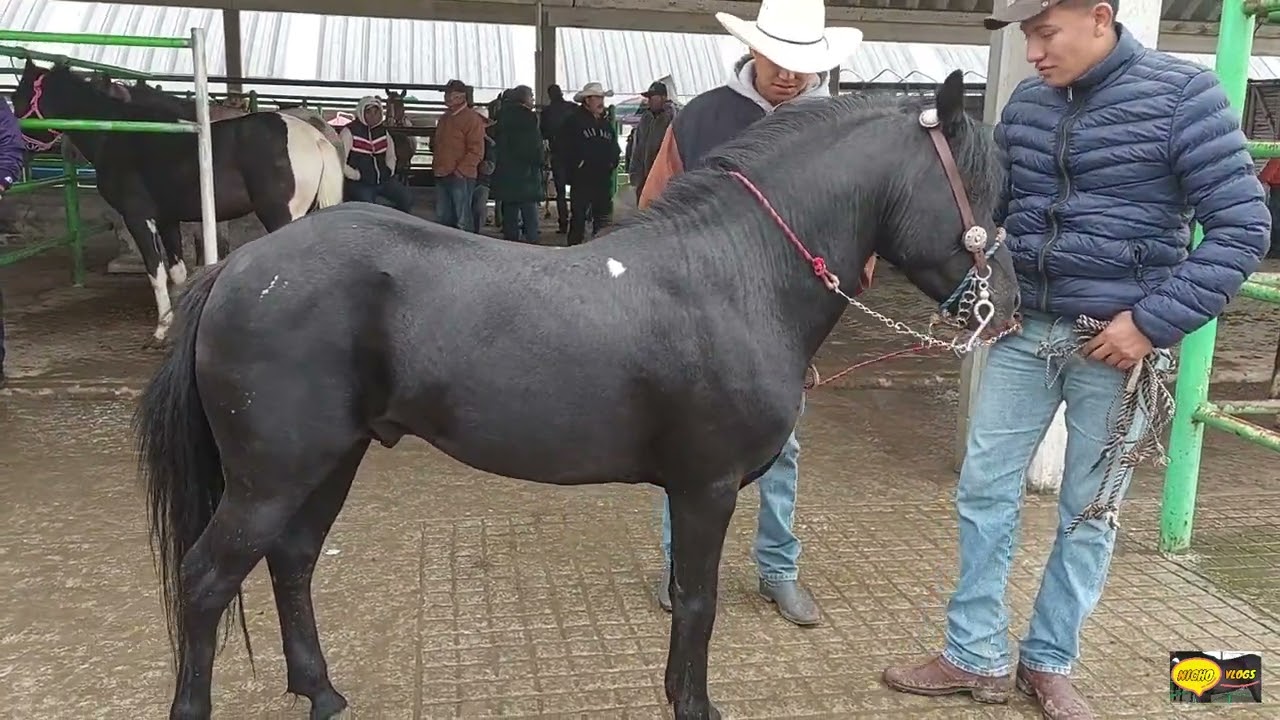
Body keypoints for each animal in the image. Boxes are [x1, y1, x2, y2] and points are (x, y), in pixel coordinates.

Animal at [12, 59, 345, 347]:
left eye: (17, 99)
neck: (120, 136)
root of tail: (314, 137)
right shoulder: (167, 219)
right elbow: (177, 272)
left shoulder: (139, 218)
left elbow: (155, 271)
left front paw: (160, 331)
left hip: (280, 215)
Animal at [133, 70, 1019, 720]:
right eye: (977, 188)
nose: (1007, 307)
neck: (735, 275)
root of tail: (239, 270)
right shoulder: (707, 488)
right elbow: (696, 603)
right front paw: (693, 705)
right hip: (270, 479)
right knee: (206, 582)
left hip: (330, 462)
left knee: (291, 561)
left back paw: (320, 691)